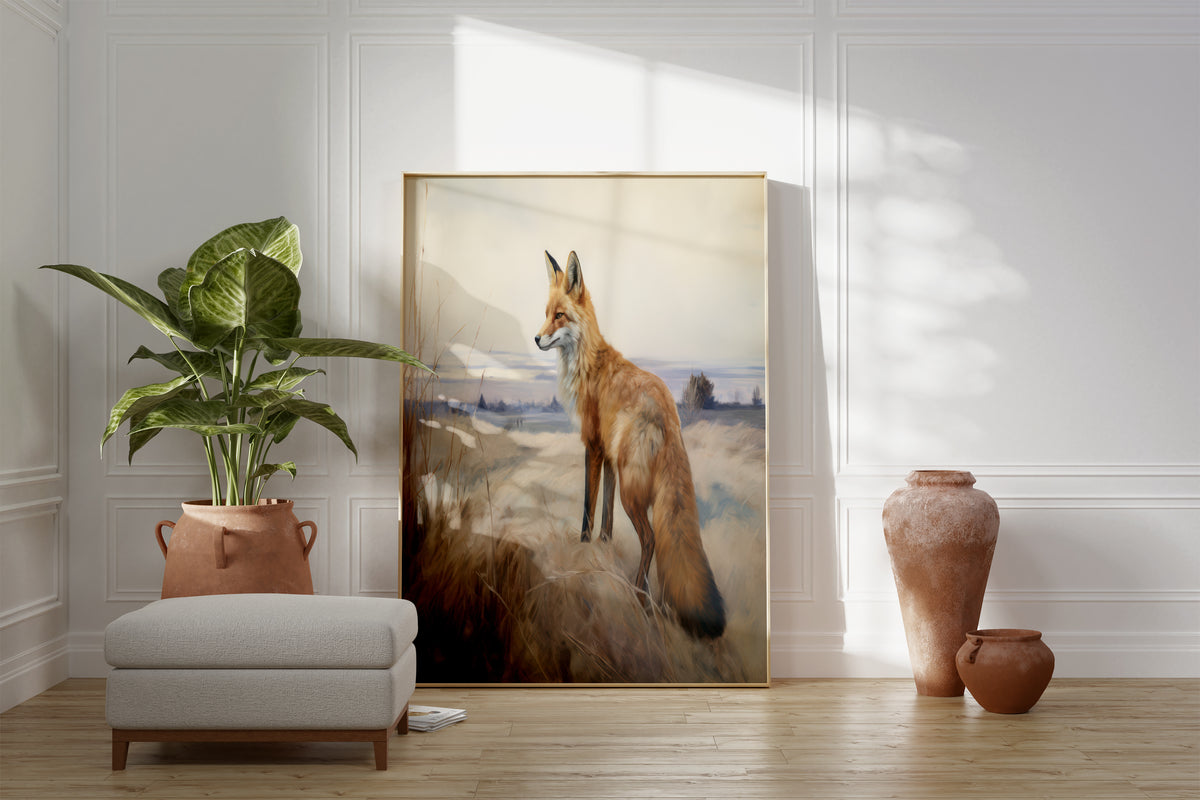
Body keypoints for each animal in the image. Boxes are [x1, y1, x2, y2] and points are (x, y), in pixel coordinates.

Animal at [534, 250, 726, 639]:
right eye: (546, 313)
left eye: (559, 316)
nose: (535, 339)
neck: (588, 364)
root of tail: (669, 412)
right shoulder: (608, 457)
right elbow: (606, 515)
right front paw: (604, 548)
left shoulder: (592, 447)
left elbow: (588, 509)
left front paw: (583, 550)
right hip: (627, 477)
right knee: (652, 538)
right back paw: (652, 597)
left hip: (632, 490)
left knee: (651, 538)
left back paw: (641, 596)